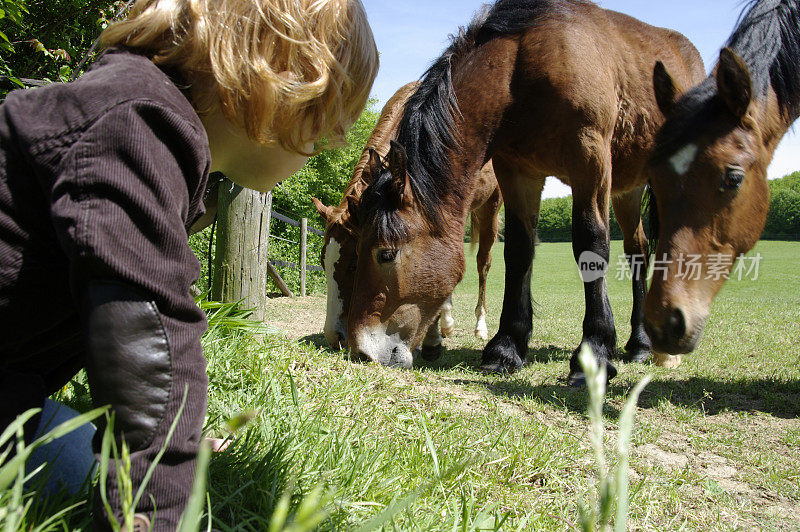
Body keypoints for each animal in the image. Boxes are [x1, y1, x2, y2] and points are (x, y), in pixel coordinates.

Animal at [312, 80, 500, 362]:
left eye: (354, 265)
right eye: (324, 262)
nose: (334, 337)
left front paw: (435, 337)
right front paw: (436, 331)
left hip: (491, 205)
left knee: (483, 264)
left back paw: (479, 325)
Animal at [342, 0, 700, 382]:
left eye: (385, 254)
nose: (361, 351)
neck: (524, 68)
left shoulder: (589, 159)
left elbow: (591, 244)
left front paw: (595, 351)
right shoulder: (517, 172)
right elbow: (518, 251)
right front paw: (507, 347)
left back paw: (655, 349)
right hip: (626, 189)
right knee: (637, 252)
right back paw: (640, 343)